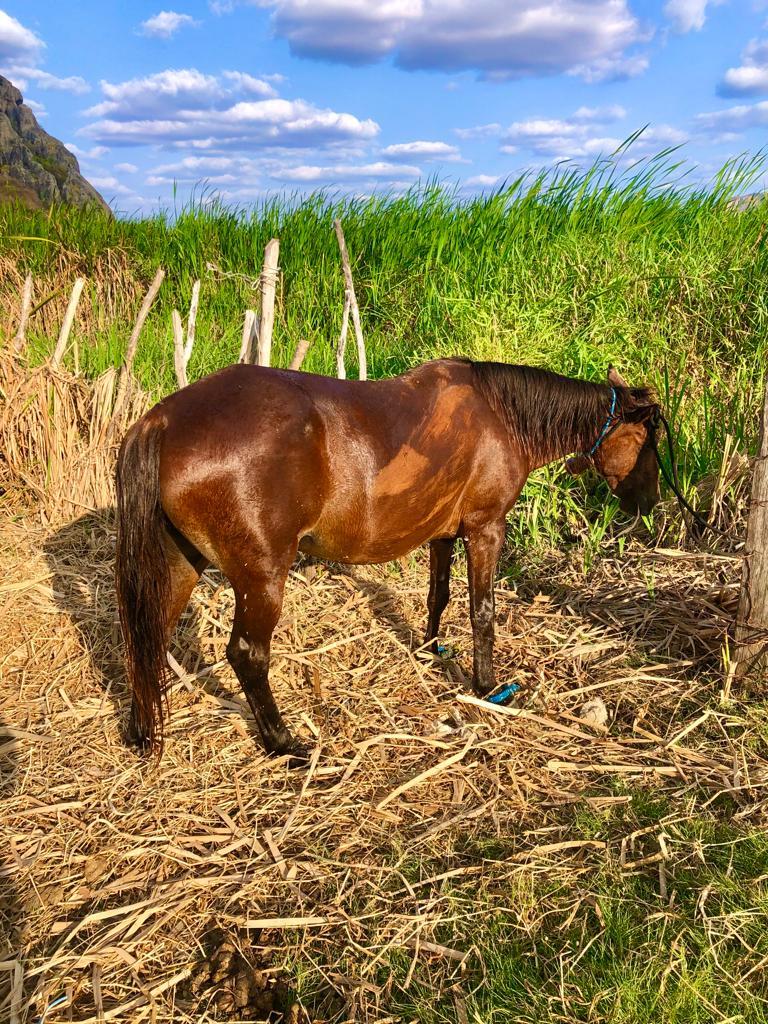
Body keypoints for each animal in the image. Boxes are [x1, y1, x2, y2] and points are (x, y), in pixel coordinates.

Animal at [114, 358, 663, 761]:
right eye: (645, 440)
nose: (650, 503)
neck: (499, 414)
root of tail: (161, 420)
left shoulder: (444, 533)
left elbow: (439, 595)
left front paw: (430, 650)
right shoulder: (485, 529)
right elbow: (482, 611)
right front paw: (487, 686)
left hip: (180, 564)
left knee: (148, 634)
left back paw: (142, 731)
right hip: (261, 577)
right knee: (247, 654)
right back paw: (285, 744)